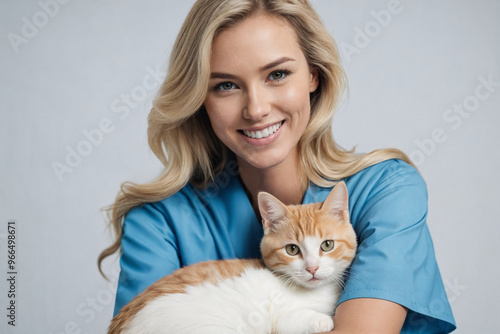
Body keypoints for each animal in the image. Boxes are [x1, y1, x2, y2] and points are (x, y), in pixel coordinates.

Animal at [108, 183, 356, 334]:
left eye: (327, 245)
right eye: (292, 249)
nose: (312, 268)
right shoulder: (279, 321)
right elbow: (293, 321)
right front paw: (321, 320)